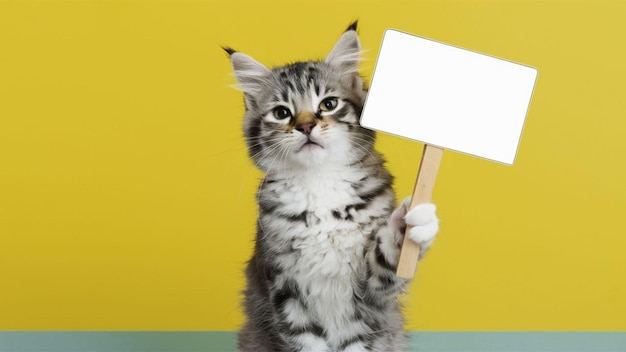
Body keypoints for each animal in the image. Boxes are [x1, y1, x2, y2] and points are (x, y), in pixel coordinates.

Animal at [225, 22, 438, 352]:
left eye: (328, 104)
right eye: (282, 113)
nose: (305, 126)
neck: (319, 181)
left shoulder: (370, 291)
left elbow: (389, 258)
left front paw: (411, 222)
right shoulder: (285, 290)